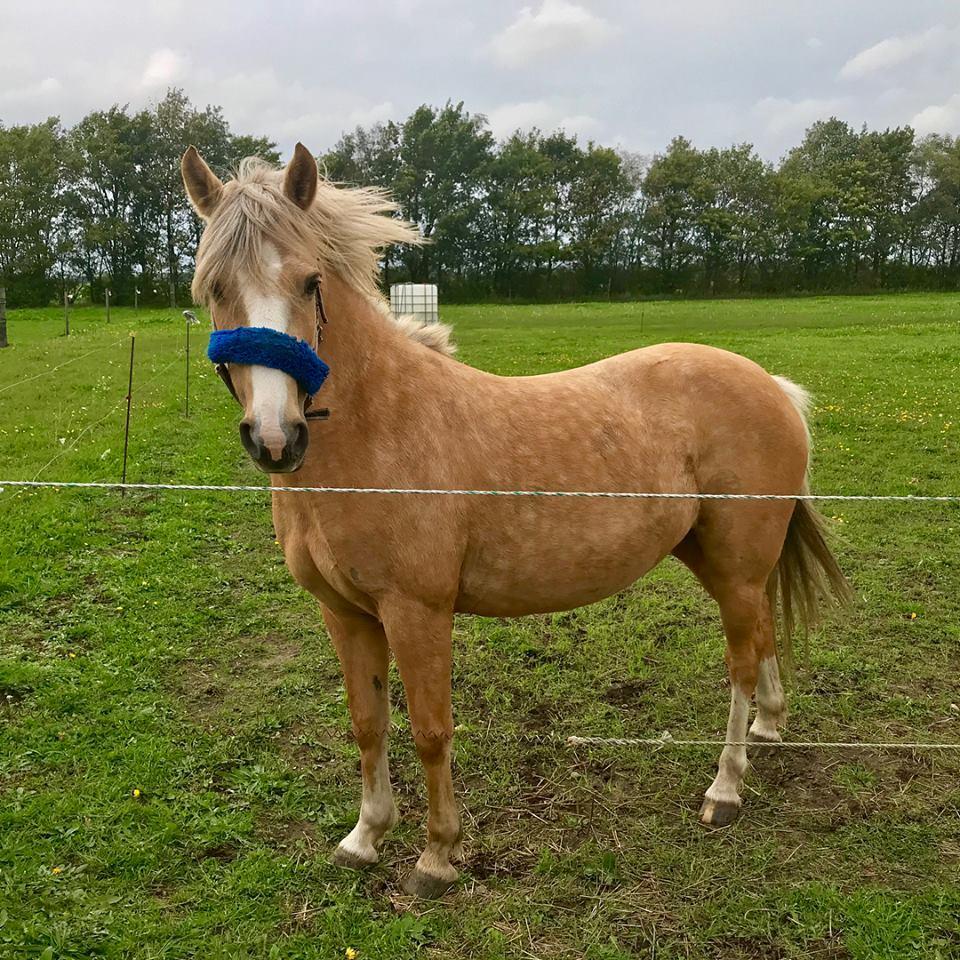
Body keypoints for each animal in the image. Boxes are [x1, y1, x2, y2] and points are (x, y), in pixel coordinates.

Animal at [181, 143, 849, 899]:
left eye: (309, 281)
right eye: (213, 289)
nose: (275, 437)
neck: (377, 430)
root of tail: (773, 387)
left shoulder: (417, 611)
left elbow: (430, 730)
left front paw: (437, 855)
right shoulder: (345, 614)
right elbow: (367, 725)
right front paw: (365, 837)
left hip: (735, 565)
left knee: (739, 660)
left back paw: (726, 789)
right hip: (717, 559)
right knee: (762, 632)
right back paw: (769, 726)